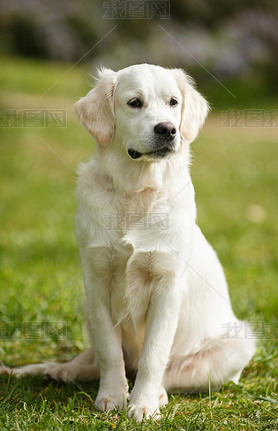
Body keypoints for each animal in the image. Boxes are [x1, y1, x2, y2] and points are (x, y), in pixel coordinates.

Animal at [2, 66, 255, 424]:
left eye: (173, 102)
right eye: (134, 102)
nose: (168, 130)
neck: (136, 191)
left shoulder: (166, 287)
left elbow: (154, 356)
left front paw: (143, 404)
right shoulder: (96, 282)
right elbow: (110, 353)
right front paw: (111, 396)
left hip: (237, 345)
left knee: (170, 373)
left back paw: (156, 393)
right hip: (86, 307)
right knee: (95, 359)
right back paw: (59, 370)